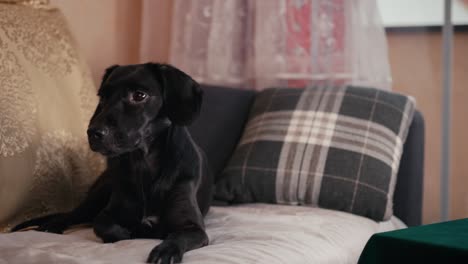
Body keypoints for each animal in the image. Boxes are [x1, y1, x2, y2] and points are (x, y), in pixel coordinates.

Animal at [12, 63, 213, 262]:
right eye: (103, 97)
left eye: (139, 95)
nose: (93, 133)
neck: (144, 164)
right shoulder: (108, 212)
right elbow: (102, 224)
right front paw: (126, 233)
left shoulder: (194, 228)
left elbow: (177, 236)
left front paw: (165, 252)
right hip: (96, 197)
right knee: (71, 215)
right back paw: (51, 225)